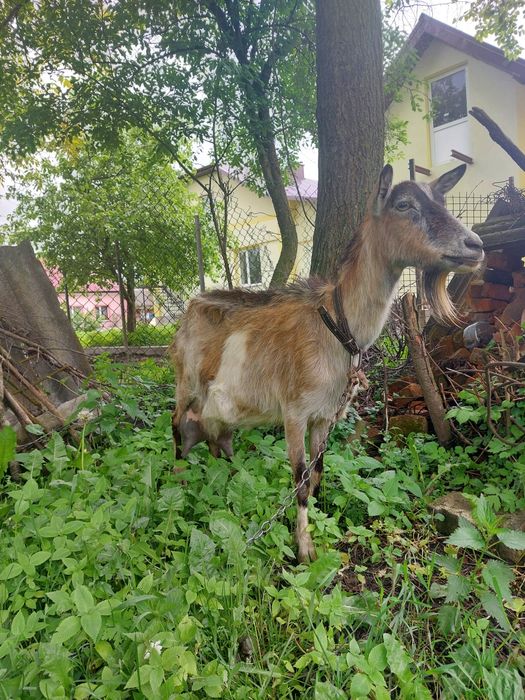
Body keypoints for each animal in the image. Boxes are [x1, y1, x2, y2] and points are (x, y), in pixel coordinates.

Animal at [171, 164, 484, 562]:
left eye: (441, 200)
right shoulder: (294, 412)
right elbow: (300, 478)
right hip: (186, 384)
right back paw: (177, 487)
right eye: (403, 204)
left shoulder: (324, 415)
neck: (336, 326)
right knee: (177, 429)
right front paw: (304, 549)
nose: (475, 246)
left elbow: (317, 473)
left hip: (218, 408)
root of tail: (190, 310)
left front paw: (320, 530)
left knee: (215, 440)